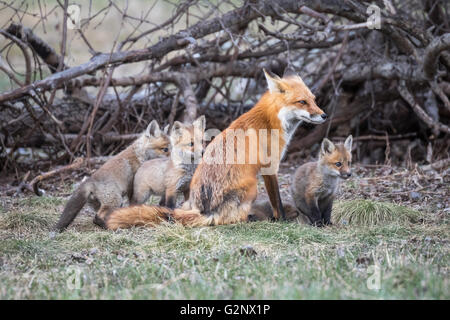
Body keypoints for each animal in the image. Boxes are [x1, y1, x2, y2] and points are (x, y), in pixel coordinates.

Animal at [102, 69, 326, 230]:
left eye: (314, 100)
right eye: (302, 102)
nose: (324, 116)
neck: (270, 120)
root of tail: (204, 209)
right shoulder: (270, 168)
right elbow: (277, 201)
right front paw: (282, 220)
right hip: (252, 186)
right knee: (228, 220)